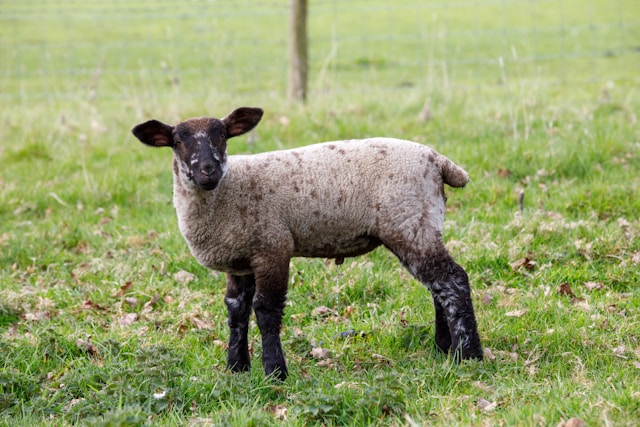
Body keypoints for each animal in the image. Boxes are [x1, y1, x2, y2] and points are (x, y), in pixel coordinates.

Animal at [132, 107, 483, 380]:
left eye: (223, 136)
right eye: (178, 141)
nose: (209, 171)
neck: (227, 192)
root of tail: (438, 161)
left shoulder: (273, 247)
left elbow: (266, 309)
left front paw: (275, 371)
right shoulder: (240, 261)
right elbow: (236, 311)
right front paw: (236, 368)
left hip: (408, 221)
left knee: (452, 280)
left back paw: (469, 355)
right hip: (420, 223)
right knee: (438, 285)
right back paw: (443, 348)